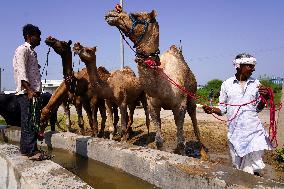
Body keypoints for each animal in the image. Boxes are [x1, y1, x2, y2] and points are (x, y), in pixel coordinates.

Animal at [105, 8, 207, 159]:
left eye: (136, 15)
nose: (111, 14)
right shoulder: (153, 105)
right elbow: (159, 140)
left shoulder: (180, 105)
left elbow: (181, 141)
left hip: (192, 96)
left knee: (194, 123)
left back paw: (203, 153)